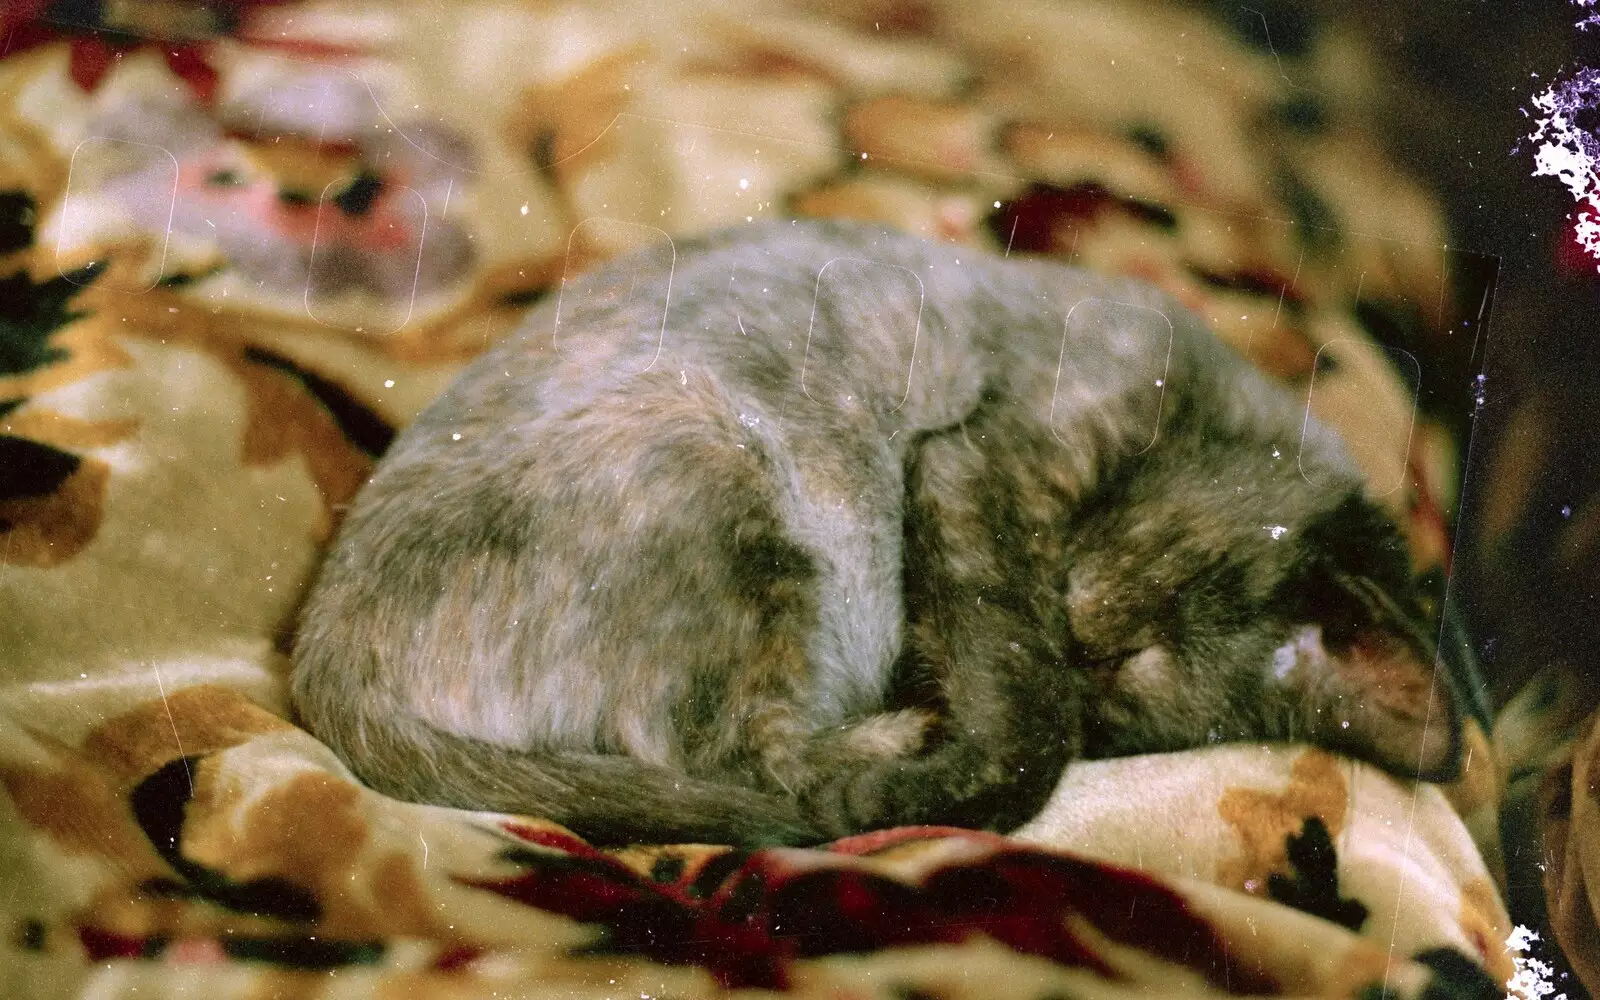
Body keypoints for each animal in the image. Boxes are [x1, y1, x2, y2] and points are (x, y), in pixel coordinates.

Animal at [288, 216, 1465, 844]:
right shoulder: (976, 466)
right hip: (725, 474)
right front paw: (951, 765)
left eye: (1136, 675)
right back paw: (889, 755)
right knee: (745, 763)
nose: (1082, 624)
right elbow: (1026, 706)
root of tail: (322, 648)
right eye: (1102, 640)